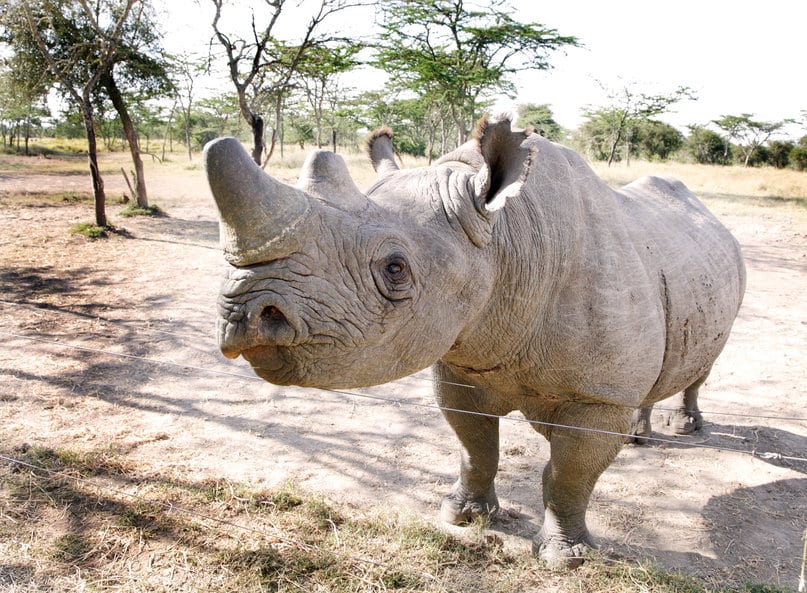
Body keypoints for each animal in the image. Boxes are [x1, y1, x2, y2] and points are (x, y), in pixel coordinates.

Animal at [202, 114, 744, 564]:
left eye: (395, 269)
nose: (244, 316)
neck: (505, 239)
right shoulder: (461, 362)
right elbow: (476, 445)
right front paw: (463, 516)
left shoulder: (599, 396)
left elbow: (569, 475)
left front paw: (566, 559)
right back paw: (639, 436)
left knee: (703, 365)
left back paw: (682, 428)